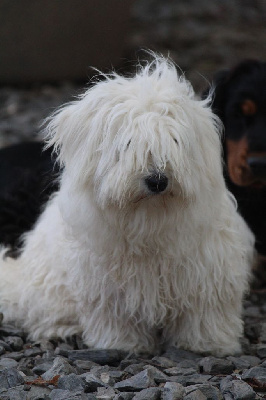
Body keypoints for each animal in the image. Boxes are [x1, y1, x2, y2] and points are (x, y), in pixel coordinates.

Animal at [0, 54, 255, 354]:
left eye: (174, 141)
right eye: (128, 143)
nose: (157, 180)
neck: (148, 220)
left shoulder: (206, 274)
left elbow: (204, 313)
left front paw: (207, 344)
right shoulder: (108, 287)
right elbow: (116, 317)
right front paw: (122, 344)